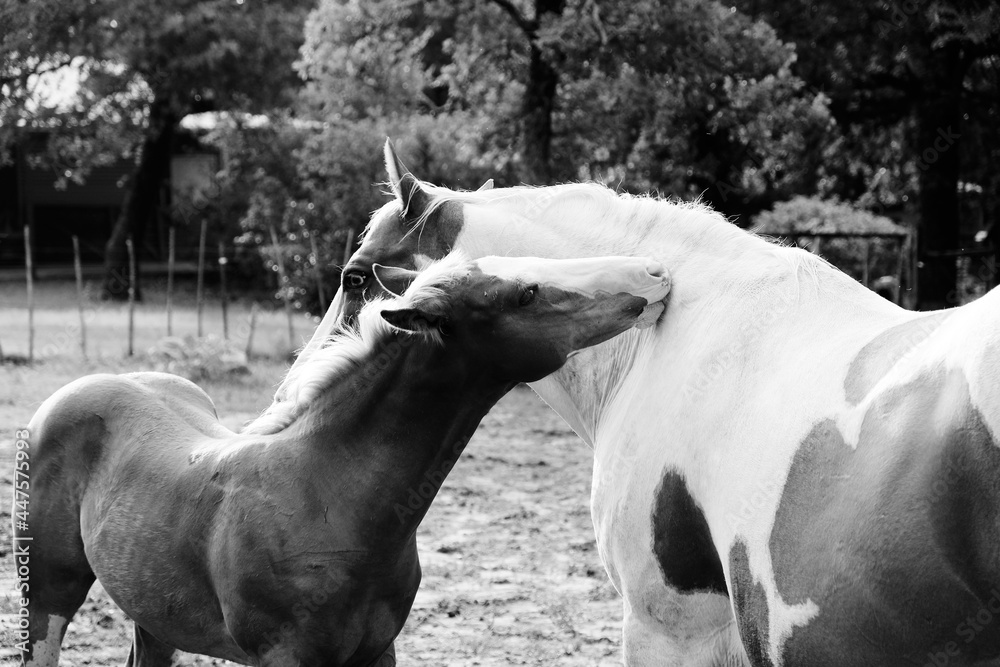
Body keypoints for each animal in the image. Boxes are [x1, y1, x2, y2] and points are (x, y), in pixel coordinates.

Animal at [13, 252, 671, 667]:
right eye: (526, 293)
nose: (651, 281)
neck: (331, 493)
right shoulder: (284, 658)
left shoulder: (378, 651)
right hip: (49, 591)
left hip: (154, 612)